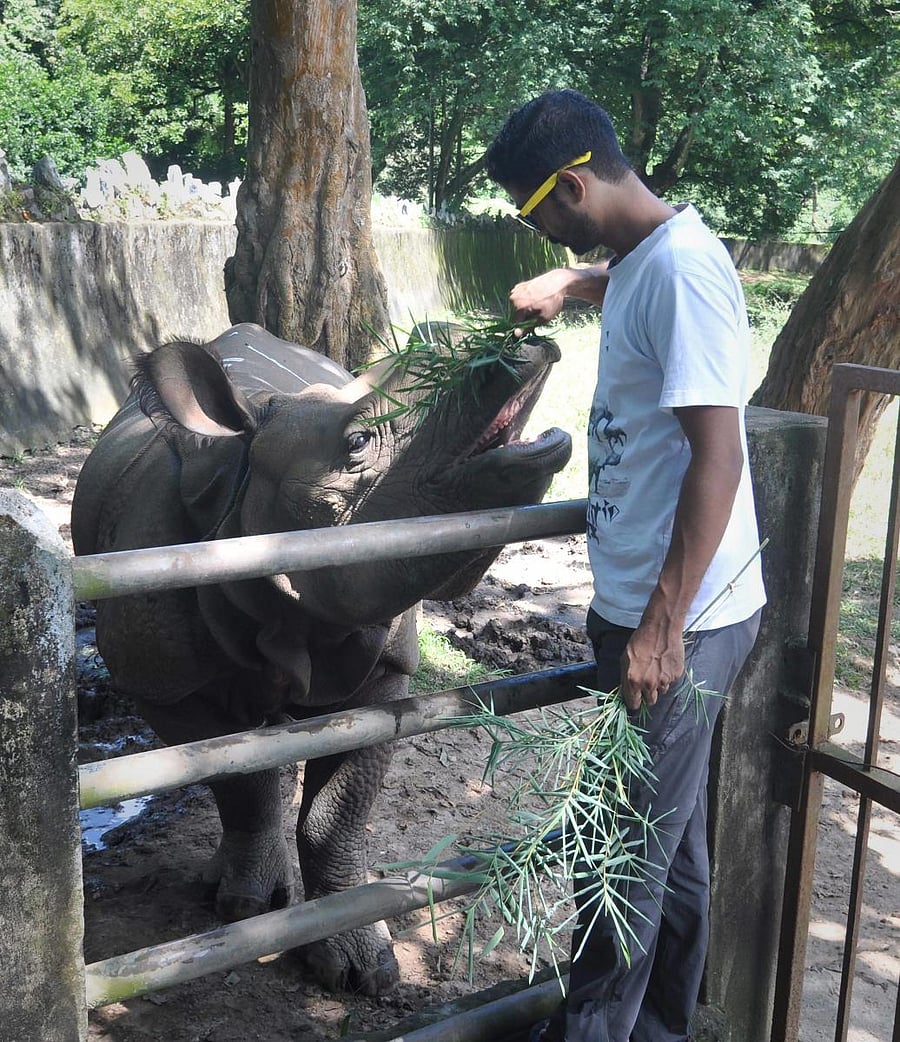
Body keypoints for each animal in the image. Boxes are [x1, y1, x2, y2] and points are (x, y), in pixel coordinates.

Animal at [71, 322, 571, 996]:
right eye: (358, 441)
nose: (525, 342)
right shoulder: (163, 685)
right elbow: (240, 782)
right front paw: (246, 909)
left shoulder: (384, 670)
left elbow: (337, 814)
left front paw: (361, 963)